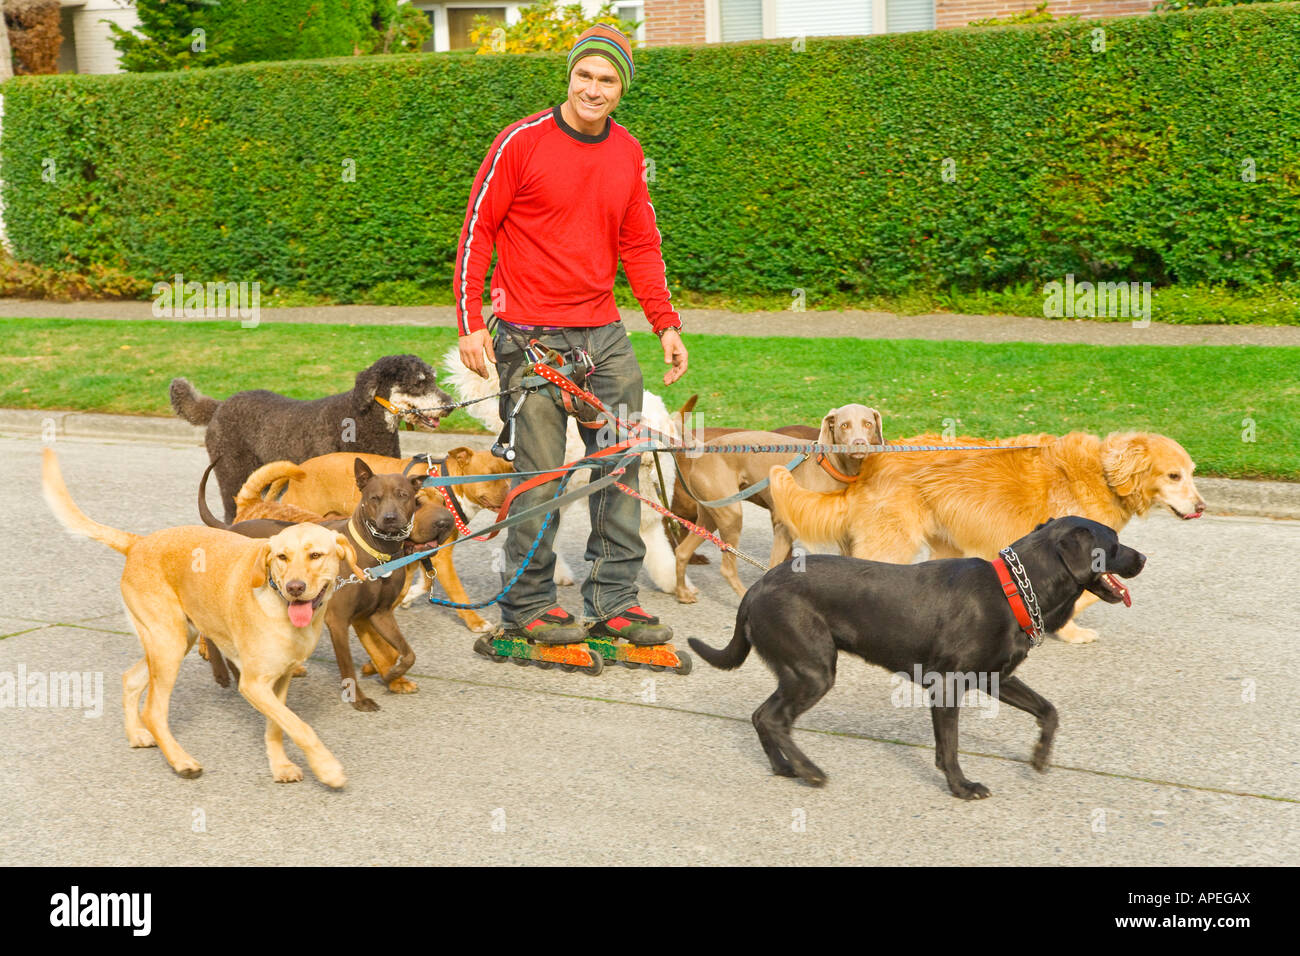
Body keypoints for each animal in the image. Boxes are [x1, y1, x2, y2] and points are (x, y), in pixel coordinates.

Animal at [43, 447, 358, 785]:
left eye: (316, 555)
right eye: (282, 557)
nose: (294, 587)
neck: (278, 604)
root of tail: (138, 542)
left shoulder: (280, 679)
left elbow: (279, 726)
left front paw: (281, 765)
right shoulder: (253, 684)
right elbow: (300, 726)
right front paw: (326, 767)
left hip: (175, 641)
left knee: (130, 680)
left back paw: (136, 734)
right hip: (169, 645)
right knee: (153, 711)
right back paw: (181, 760)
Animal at [239, 450, 506, 634]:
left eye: (506, 475)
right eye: (491, 476)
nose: (510, 494)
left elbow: (421, 582)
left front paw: (407, 598)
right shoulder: (441, 557)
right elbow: (458, 592)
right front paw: (476, 622)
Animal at [670, 405, 883, 600]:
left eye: (868, 424)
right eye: (844, 425)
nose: (859, 443)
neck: (830, 466)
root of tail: (703, 448)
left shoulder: (843, 533)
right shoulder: (784, 527)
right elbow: (773, 567)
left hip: (711, 513)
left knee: (682, 551)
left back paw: (683, 593)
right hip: (730, 514)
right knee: (727, 568)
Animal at [764, 431, 1201, 642]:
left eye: (1193, 473)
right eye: (1173, 475)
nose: (1201, 507)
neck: (1104, 474)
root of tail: (872, 462)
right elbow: (1087, 597)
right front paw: (1068, 629)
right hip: (893, 541)